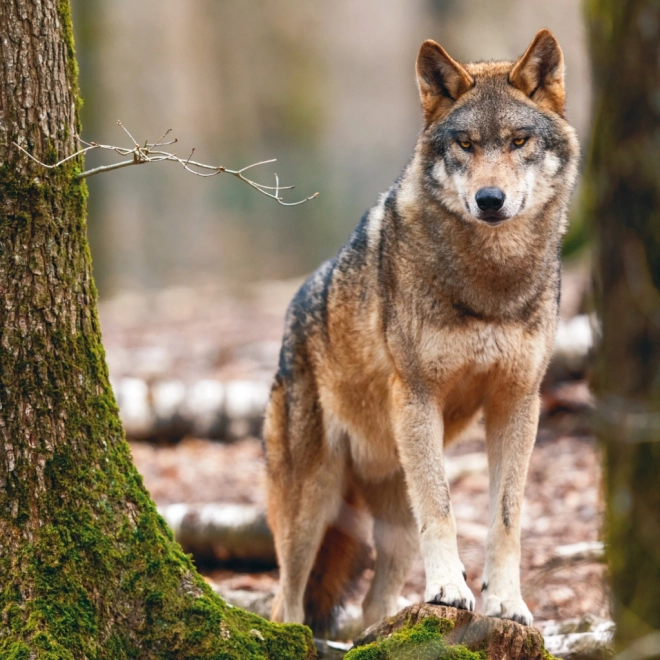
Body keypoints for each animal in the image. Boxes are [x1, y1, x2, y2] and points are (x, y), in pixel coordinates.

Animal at [262, 28, 576, 632]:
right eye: (467, 145)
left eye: (519, 141)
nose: (489, 200)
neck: (490, 281)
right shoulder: (418, 395)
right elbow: (444, 508)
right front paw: (451, 590)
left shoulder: (518, 401)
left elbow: (506, 518)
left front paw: (507, 603)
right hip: (311, 504)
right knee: (284, 600)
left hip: (391, 518)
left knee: (372, 608)